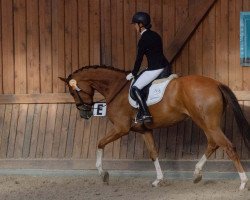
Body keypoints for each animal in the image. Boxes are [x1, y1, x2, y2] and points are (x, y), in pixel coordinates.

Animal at [59, 66, 249, 191]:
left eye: (72, 92)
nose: (84, 114)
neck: (116, 88)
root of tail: (216, 83)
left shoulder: (121, 128)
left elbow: (99, 143)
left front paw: (102, 174)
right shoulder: (145, 130)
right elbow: (153, 153)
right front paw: (158, 180)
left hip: (207, 123)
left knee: (228, 146)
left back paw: (242, 182)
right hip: (206, 123)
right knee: (213, 143)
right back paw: (196, 174)